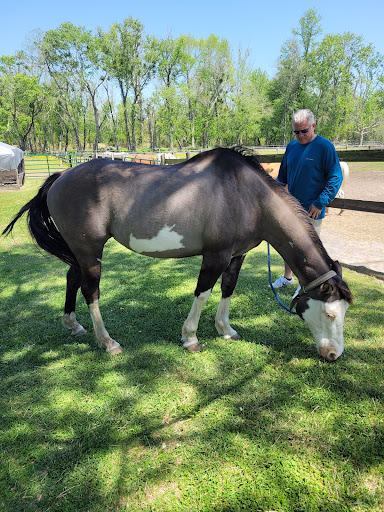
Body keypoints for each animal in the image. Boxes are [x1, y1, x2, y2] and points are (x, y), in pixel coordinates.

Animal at [3, 146, 352, 362]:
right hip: (91, 252)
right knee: (90, 290)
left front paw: (226, 330)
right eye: (330, 314)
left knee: (72, 278)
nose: (334, 355)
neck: (246, 194)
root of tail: (60, 177)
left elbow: (228, 289)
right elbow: (203, 292)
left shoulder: (235, 257)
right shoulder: (215, 256)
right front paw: (191, 338)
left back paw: (73, 325)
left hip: (81, 252)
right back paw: (108, 342)